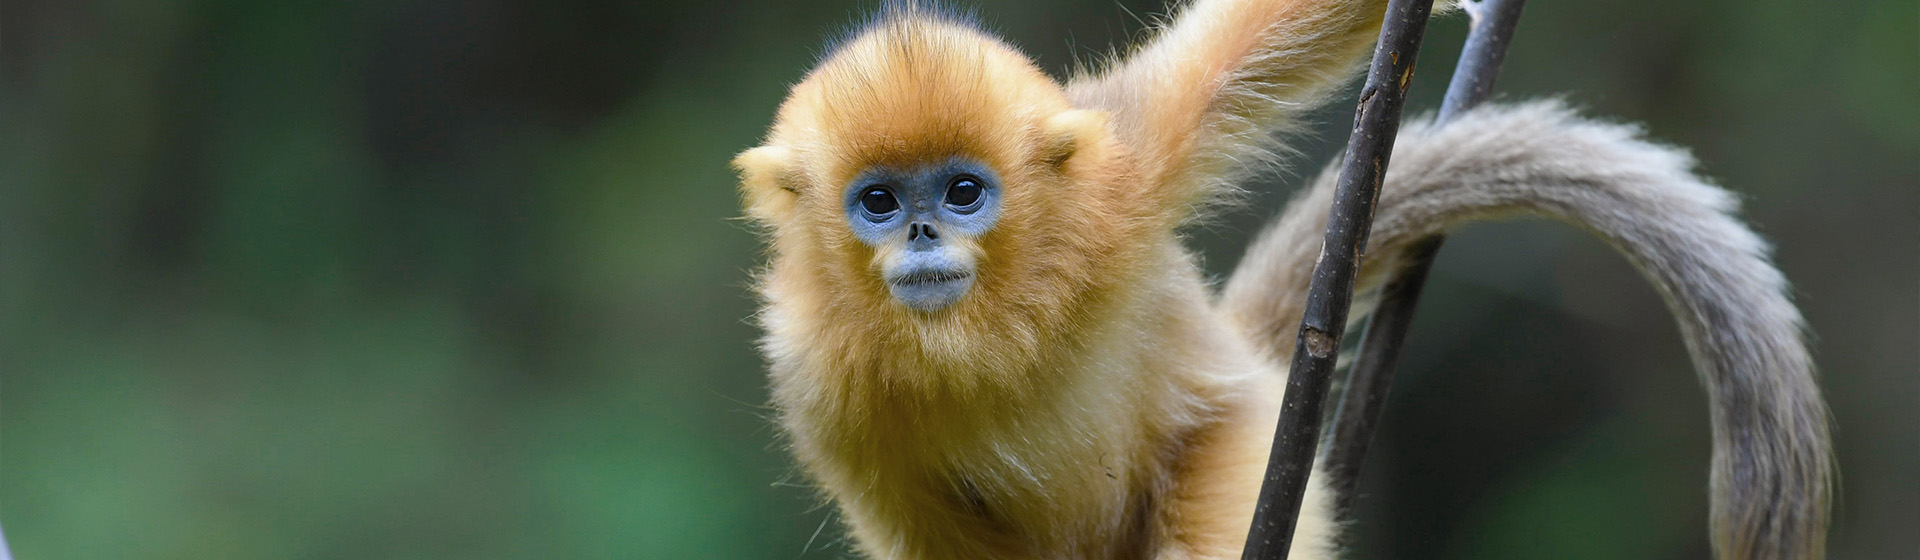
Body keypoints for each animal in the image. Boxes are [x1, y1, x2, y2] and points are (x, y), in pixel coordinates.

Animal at [731, 1, 1832, 559]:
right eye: (878, 202)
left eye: (964, 192)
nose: (920, 231)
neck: (986, 328)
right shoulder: (817, 386)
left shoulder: (1120, 176)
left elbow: (1254, 39)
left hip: (1244, 437)